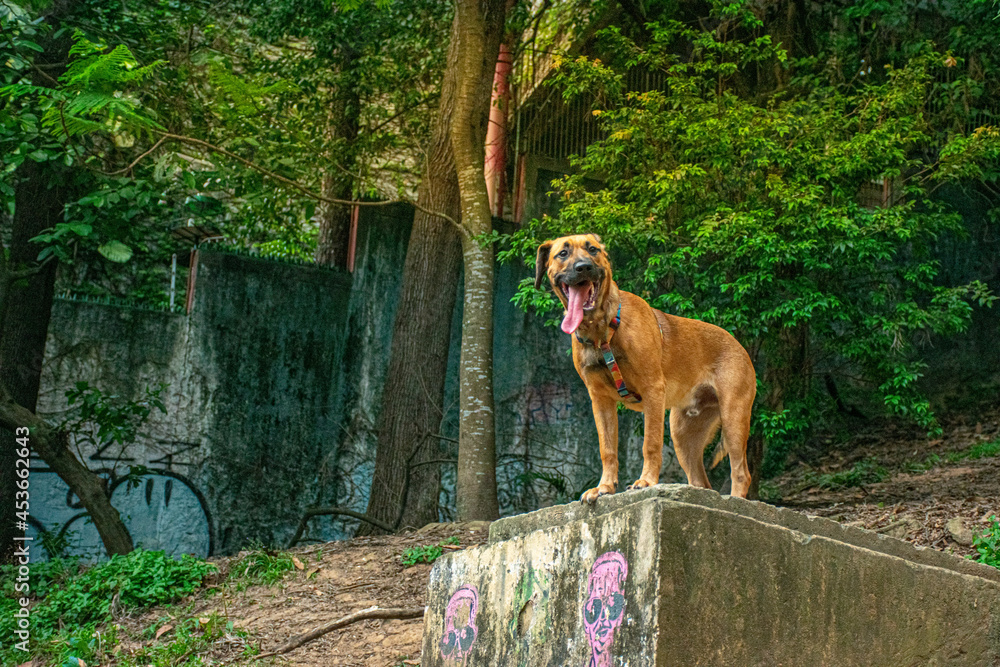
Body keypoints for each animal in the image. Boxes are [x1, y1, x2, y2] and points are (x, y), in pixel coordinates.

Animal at [536, 235, 752, 500]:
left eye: (593, 250)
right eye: (563, 253)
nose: (584, 267)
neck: (602, 331)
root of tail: (739, 345)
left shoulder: (653, 391)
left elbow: (650, 443)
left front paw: (646, 481)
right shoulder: (600, 400)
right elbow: (607, 449)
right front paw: (604, 487)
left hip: (733, 418)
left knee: (741, 473)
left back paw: (736, 500)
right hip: (683, 433)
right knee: (701, 481)